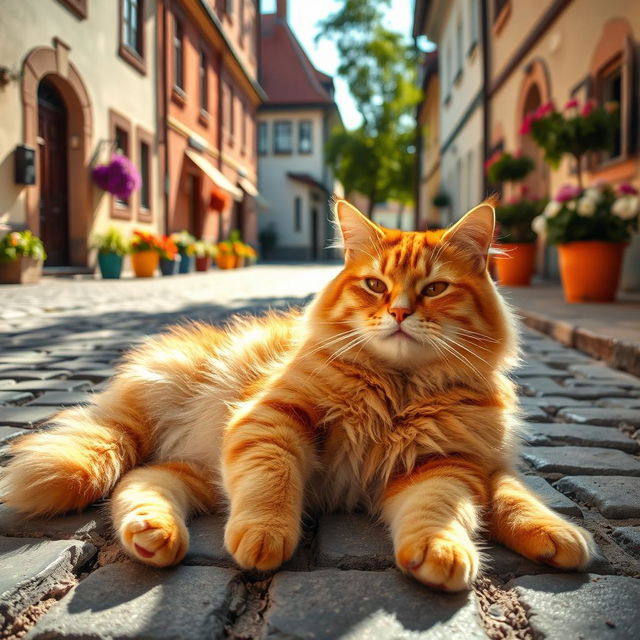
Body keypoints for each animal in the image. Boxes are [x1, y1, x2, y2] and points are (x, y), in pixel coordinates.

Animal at [0, 202, 592, 592]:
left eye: (435, 289)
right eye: (375, 286)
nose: (400, 313)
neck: (399, 390)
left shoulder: (449, 463)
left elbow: (468, 505)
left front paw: (456, 548)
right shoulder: (272, 418)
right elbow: (273, 480)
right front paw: (266, 534)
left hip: (195, 469)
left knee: (142, 479)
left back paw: (153, 534)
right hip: (176, 430)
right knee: (133, 470)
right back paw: (157, 533)